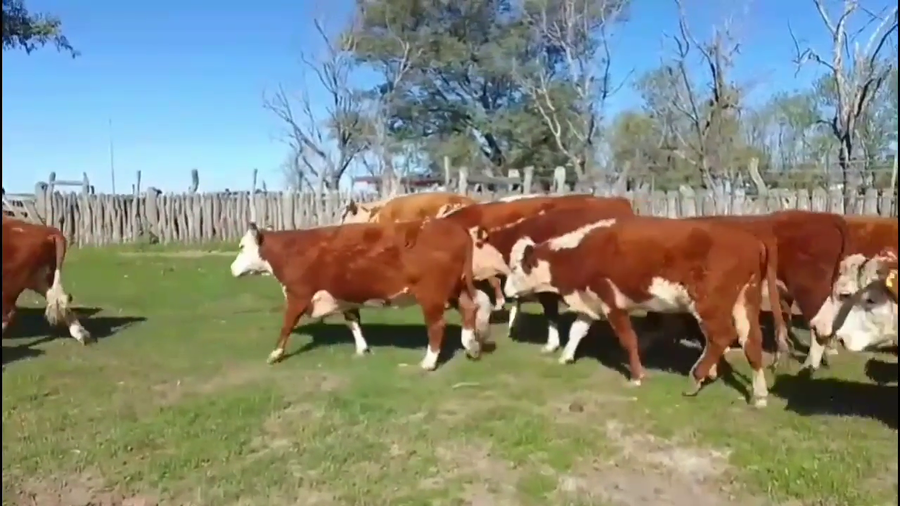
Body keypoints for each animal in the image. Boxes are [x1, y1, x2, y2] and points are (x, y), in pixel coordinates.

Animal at [228, 219, 491, 370]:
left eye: (242, 247)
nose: (231, 268)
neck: (291, 250)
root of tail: (456, 228)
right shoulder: (345, 296)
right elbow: (353, 322)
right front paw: (362, 349)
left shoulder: (297, 295)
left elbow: (286, 326)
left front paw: (274, 355)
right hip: (456, 288)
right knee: (470, 307)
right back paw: (471, 346)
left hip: (432, 295)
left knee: (437, 326)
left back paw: (429, 362)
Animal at [502, 216, 778, 408]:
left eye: (515, 269)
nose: (505, 291)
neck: (580, 253)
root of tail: (752, 241)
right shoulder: (590, 302)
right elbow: (576, 331)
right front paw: (566, 356)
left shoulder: (612, 303)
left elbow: (628, 339)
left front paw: (637, 376)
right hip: (746, 301)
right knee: (752, 342)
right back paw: (760, 395)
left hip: (709, 305)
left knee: (721, 337)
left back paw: (696, 378)